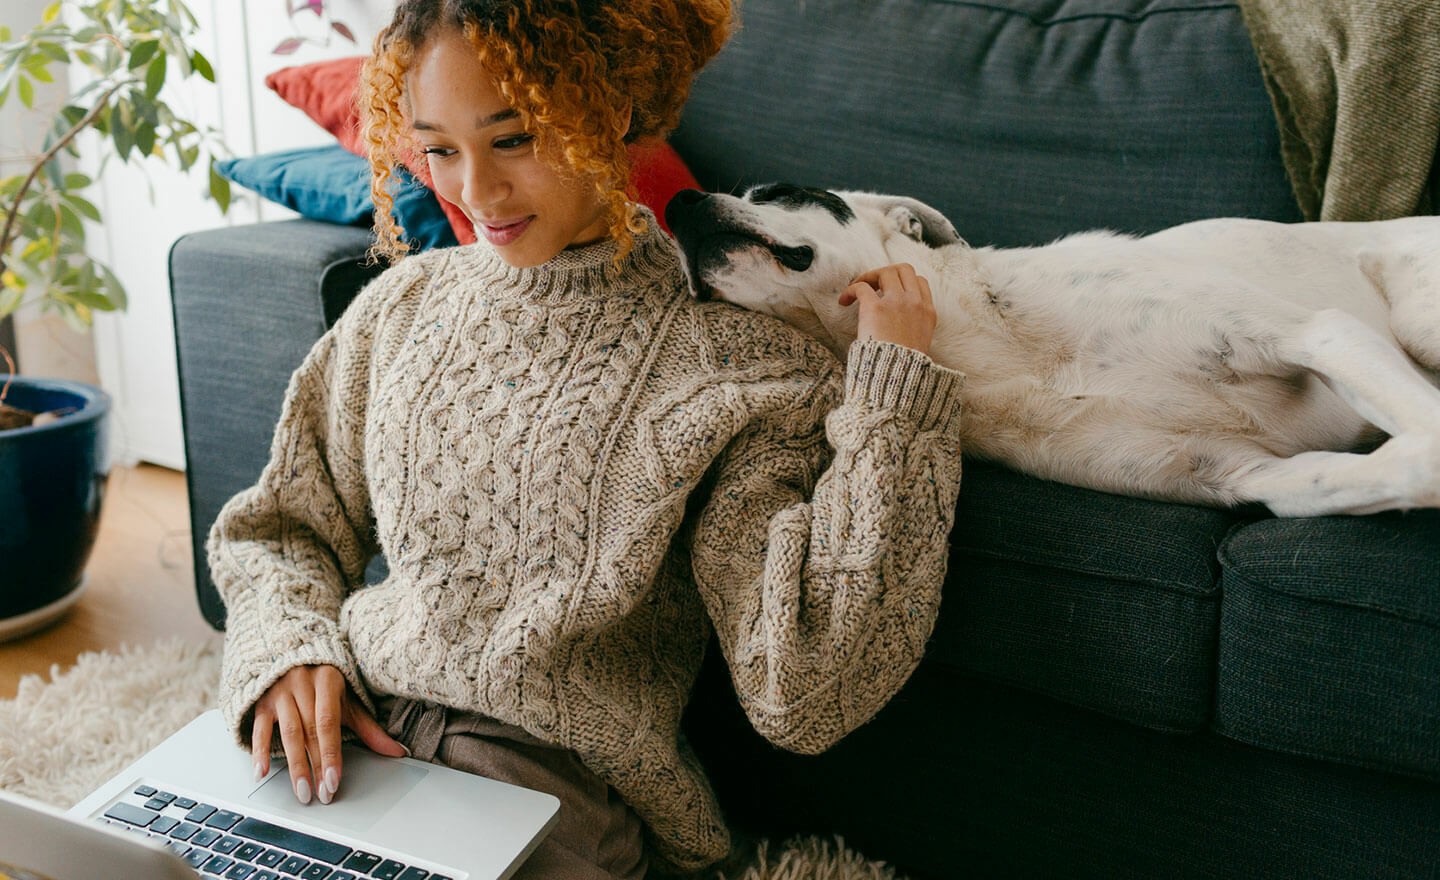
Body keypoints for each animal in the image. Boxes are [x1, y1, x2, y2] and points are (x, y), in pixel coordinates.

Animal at [662, 185, 1440, 515]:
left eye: (778, 190)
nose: (678, 203)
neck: (981, 345)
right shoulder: (1244, 475)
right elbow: (1391, 470)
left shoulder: (1312, 331)